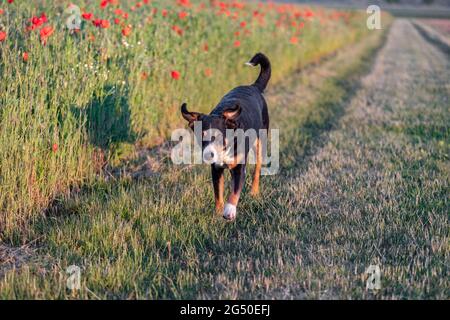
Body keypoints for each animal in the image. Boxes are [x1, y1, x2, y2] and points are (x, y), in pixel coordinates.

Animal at [180, 53, 270, 221]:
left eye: (219, 136)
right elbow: (218, 192)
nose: (208, 155)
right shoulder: (216, 169)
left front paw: (229, 210)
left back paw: (254, 192)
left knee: (257, 169)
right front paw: (218, 211)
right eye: (201, 135)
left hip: (260, 141)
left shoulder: (239, 168)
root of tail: (253, 86)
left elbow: (234, 192)